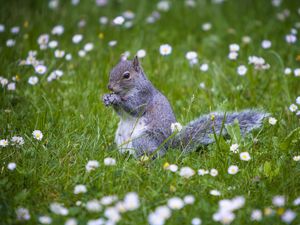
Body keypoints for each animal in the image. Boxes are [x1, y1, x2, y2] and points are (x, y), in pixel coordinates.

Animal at [102, 56, 268, 158]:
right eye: (111, 70)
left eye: (126, 75)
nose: (109, 87)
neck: (129, 90)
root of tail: (168, 148)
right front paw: (106, 98)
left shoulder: (144, 96)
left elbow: (134, 108)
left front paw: (116, 98)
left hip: (143, 140)